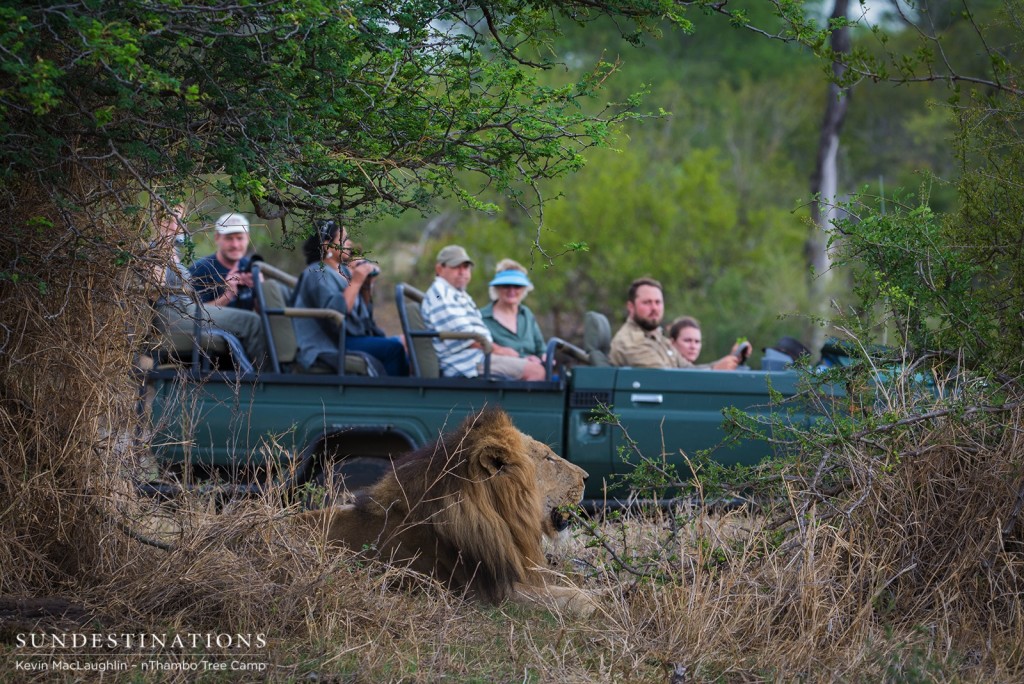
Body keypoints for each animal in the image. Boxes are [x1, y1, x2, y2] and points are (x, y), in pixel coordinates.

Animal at [299, 405, 598, 614]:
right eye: (548, 458)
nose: (586, 477)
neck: (499, 518)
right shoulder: (485, 594)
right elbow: (571, 597)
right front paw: (596, 603)